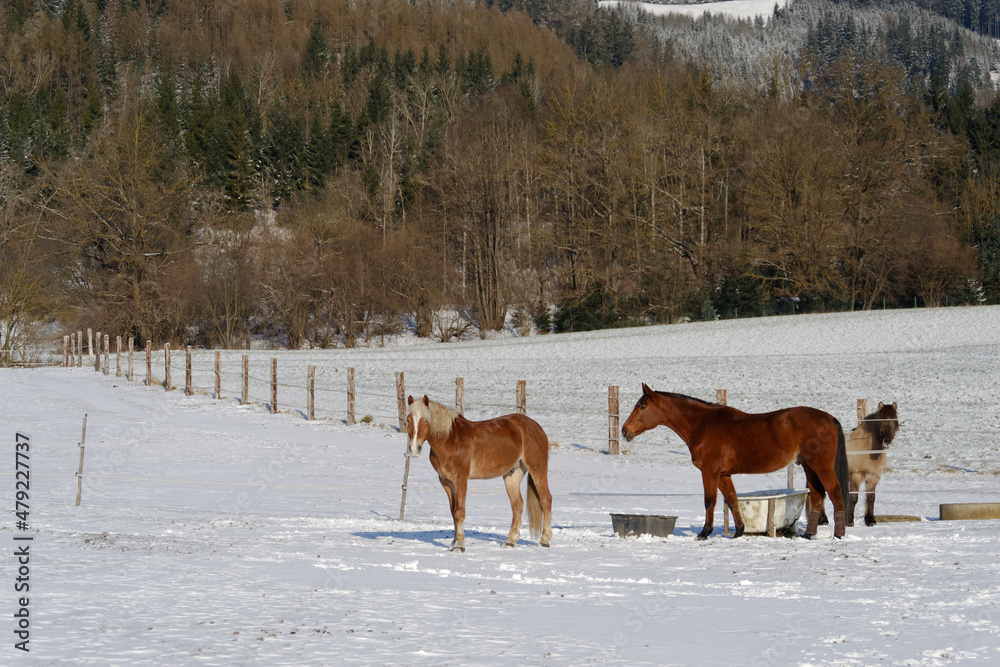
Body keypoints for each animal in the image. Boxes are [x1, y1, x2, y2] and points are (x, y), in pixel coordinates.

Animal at [405, 395, 553, 552]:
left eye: (426, 420)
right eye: (408, 420)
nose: (414, 449)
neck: (450, 439)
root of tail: (536, 427)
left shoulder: (461, 479)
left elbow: (459, 511)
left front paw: (459, 545)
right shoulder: (446, 482)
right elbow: (453, 511)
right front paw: (453, 542)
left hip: (538, 470)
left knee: (545, 500)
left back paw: (544, 540)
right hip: (512, 475)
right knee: (517, 505)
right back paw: (510, 541)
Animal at [621, 384, 851, 540]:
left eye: (642, 407)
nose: (624, 430)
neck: (703, 425)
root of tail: (829, 418)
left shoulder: (710, 471)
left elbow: (710, 501)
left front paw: (704, 532)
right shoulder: (723, 474)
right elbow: (732, 499)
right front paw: (739, 531)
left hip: (821, 466)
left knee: (835, 492)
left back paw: (839, 534)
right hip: (809, 467)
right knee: (818, 495)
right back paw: (808, 534)